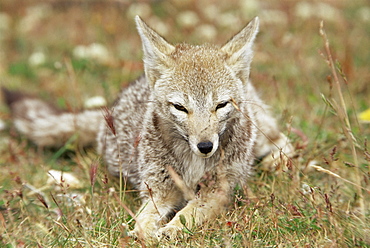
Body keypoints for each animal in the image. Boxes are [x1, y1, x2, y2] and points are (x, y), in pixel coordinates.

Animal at [1, 16, 294, 240]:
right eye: (180, 107)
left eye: (221, 105)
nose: (205, 146)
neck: (192, 163)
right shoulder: (158, 191)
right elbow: (142, 221)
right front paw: (144, 234)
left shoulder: (217, 191)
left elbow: (188, 215)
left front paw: (171, 230)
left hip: (261, 135)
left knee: (283, 141)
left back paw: (276, 161)